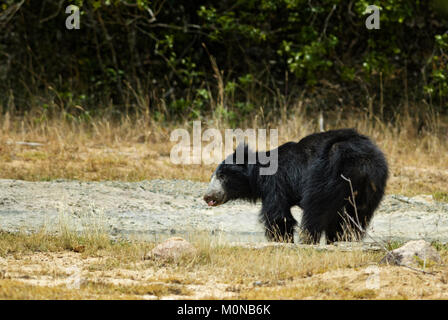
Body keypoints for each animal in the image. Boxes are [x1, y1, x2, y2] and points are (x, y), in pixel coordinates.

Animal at [203, 127, 388, 242]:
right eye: (213, 176)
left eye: (221, 176)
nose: (207, 196)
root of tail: (361, 161)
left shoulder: (275, 183)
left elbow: (278, 216)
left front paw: (282, 240)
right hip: (372, 185)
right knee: (354, 217)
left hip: (325, 175)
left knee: (316, 210)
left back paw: (308, 240)